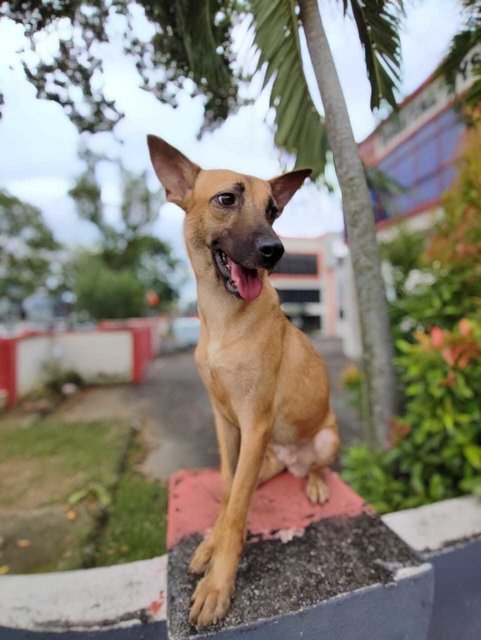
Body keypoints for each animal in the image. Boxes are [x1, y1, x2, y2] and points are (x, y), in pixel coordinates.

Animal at [148, 132, 340, 628]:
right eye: (226, 199)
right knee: (255, 477)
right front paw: (210, 544)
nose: (276, 251)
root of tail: (292, 459)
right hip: (266, 449)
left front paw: (218, 584)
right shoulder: (226, 422)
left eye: (273, 210)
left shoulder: (254, 423)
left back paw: (314, 482)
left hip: (323, 438)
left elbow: (236, 509)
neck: (223, 319)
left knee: (313, 465)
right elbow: (226, 487)